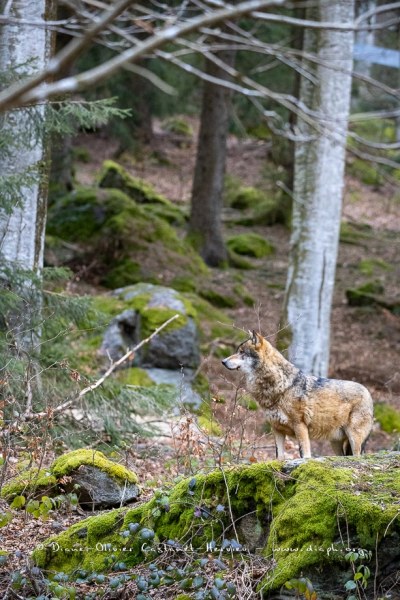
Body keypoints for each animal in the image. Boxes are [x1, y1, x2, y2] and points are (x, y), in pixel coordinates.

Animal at [220, 332, 374, 460]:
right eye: (237, 351)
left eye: (241, 352)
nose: (223, 361)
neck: (281, 386)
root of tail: (368, 393)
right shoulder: (276, 429)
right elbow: (279, 455)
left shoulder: (300, 425)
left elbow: (304, 452)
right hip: (335, 442)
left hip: (354, 438)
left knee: (357, 455)